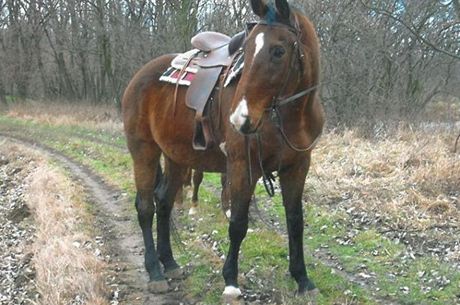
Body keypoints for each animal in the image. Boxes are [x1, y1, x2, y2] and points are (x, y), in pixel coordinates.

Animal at [122, 0, 324, 300]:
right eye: (247, 50)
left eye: (279, 51)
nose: (241, 118)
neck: (287, 117)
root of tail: (140, 75)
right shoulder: (242, 167)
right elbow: (238, 223)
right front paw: (230, 280)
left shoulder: (297, 167)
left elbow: (295, 221)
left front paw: (302, 279)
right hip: (144, 151)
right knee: (146, 207)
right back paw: (155, 271)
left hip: (176, 157)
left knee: (165, 202)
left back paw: (169, 262)